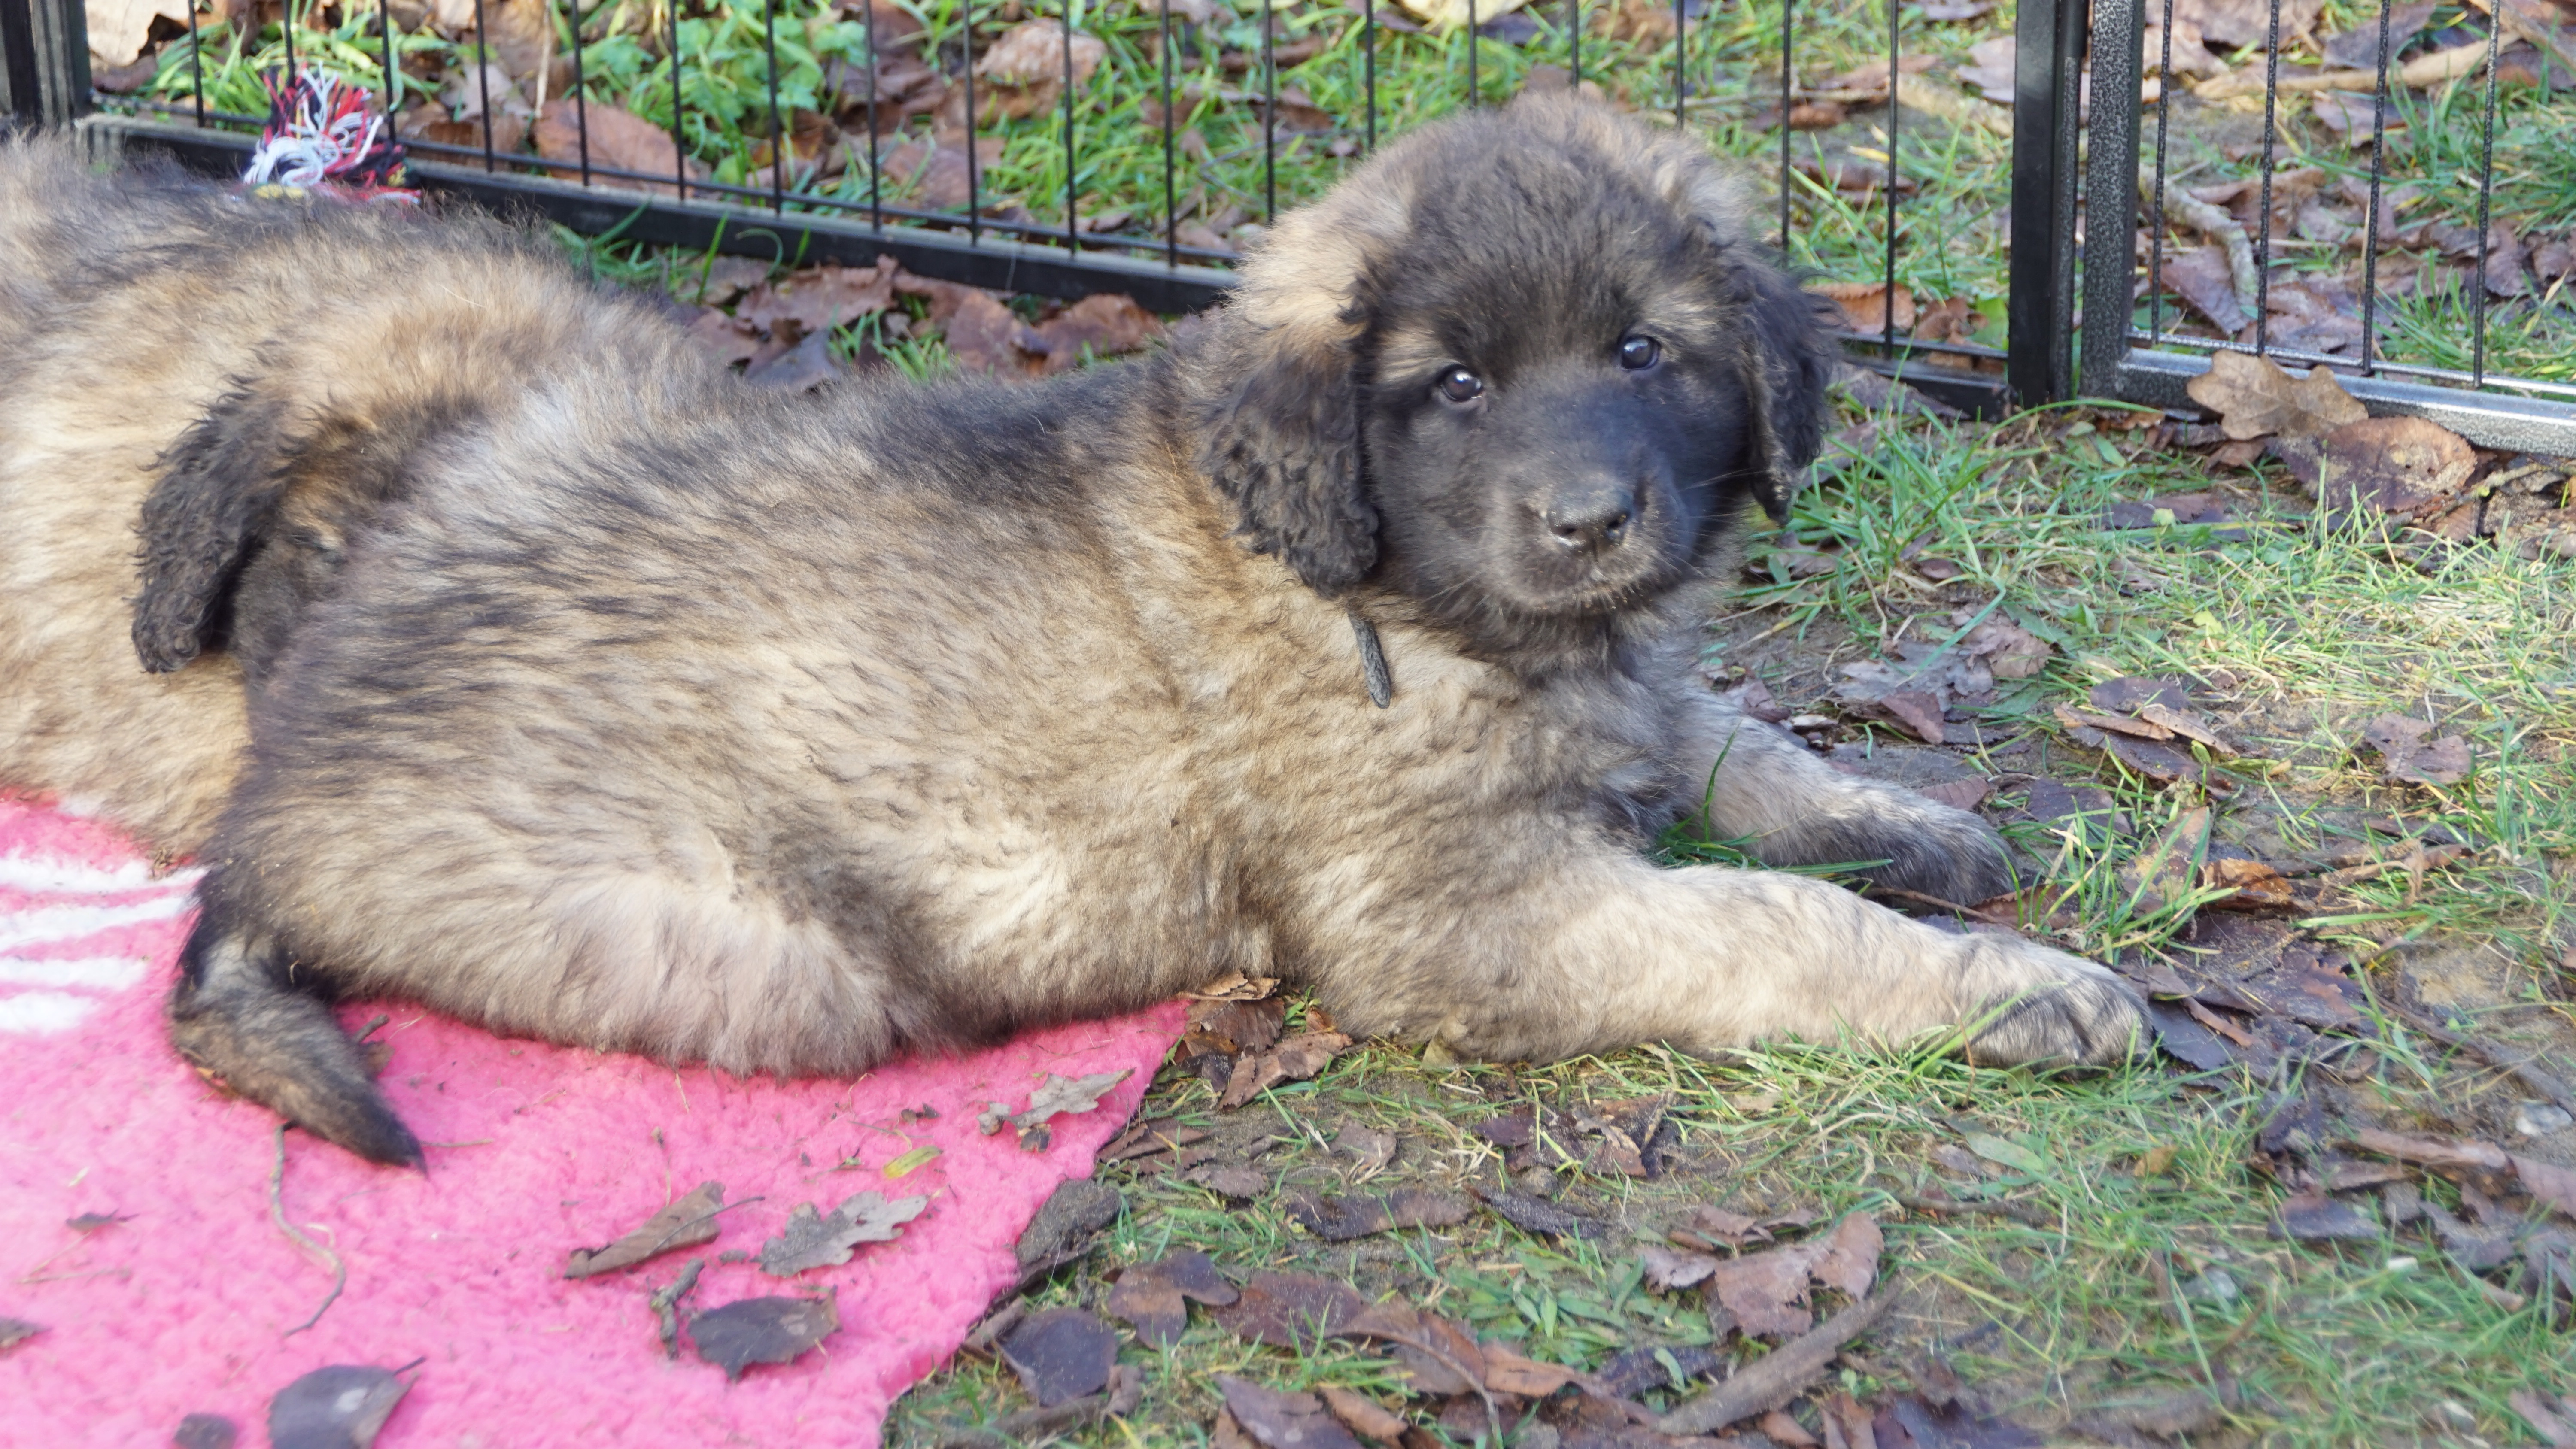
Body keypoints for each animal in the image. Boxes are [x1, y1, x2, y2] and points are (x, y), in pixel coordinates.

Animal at [0, 98, 2145, 1168]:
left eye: (1644, 355)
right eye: (1448, 387)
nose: (1585, 522)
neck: (1382, 592)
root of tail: (286, 766)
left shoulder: (1608, 688)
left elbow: (1724, 737)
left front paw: (1906, 820)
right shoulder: (1460, 912)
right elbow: (1751, 920)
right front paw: (2012, 987)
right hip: (776, 957)